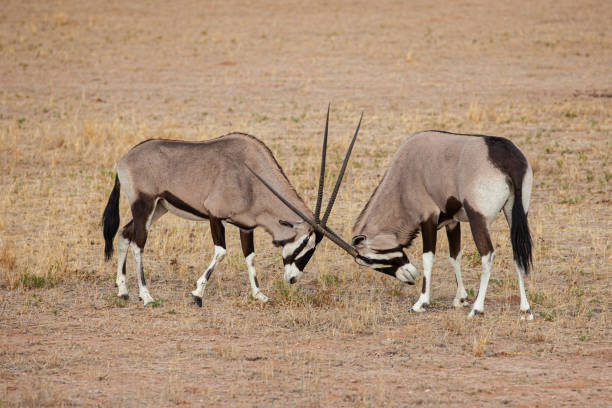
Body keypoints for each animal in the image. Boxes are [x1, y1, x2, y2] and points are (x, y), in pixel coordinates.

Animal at [103, 108, 364, 306]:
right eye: (304, 245)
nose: (292, 279)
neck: (251, 176)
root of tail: (123, 159)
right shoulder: (215, 216)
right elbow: (221, 251)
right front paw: (197, 293)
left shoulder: (246, 226)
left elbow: (250, 257)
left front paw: (259, 295)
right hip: (144, 206)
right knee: (138, 245)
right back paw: (146, 296)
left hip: (158, 209)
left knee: (124, 234)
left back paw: (123, 291)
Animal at [256, 130, 532, 318]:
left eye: (366, 260)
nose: (409, 277)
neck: (405, 175)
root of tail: (507, 158)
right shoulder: (452, 221)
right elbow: (455, 256)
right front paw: (459, 299)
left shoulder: (429, 220)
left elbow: (429, 258)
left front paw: (421, 303)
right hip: (515, 214)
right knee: (518, 253)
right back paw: (525, 309)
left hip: (478, 218)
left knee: (488, 254)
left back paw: (477, 309)